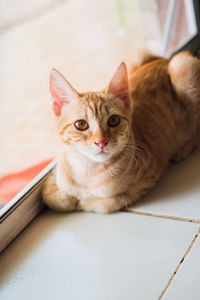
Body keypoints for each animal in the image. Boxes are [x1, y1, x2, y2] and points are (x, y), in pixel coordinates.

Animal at [41, 50, 200, 212]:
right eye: (81, 124)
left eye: (113, 120)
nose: (101, 142)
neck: (87, 173)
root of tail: (165, 60)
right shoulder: (56, 169)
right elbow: (49, 195)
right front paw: (66, 197)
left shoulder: (147, 179)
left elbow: (106, 203)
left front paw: (82, 202)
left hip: (183, 66)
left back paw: (183, 149)